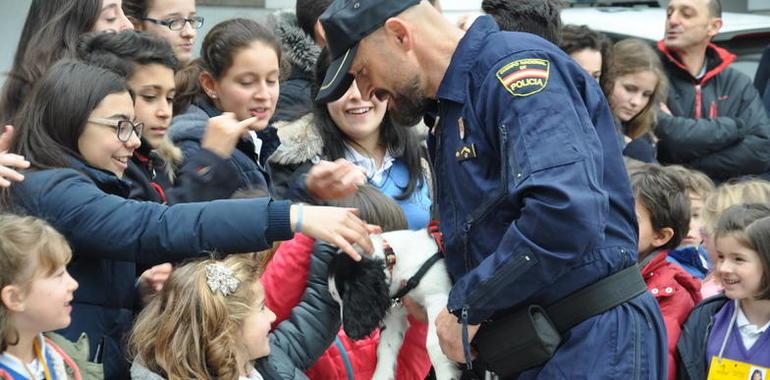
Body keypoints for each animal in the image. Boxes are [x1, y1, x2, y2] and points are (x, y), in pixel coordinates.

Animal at [328, 229, 460, 380]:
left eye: (345, 296)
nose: (348, 332)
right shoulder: (394, 319)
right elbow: (385, 349)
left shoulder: (437, 298)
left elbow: (434, 343)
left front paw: (445, 374)